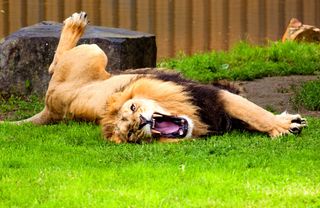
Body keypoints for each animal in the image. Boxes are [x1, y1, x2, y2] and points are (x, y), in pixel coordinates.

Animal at [1, 11, 308, 143]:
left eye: (134, 107)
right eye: (130, 131)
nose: (141, 122)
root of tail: (50, 109)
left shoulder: (207, 98)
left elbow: (251, 113)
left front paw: (282, 121)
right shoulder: (211, 99)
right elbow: (255, 114)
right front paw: (282, 125)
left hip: (94, 54)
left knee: (52, 66)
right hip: (93, 53)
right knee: (54, 65)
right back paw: (76, 23)